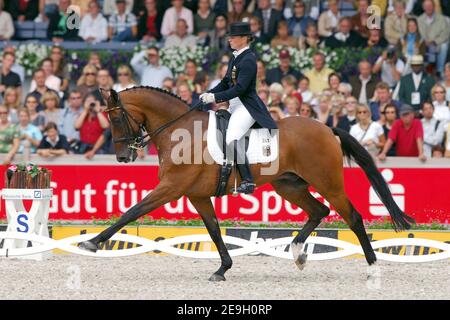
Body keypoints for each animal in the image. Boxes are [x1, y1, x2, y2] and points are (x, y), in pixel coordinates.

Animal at [79, 87, 416, 280]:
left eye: (116, 118)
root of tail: (326, 128)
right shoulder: (196, 195)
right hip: (288, 185)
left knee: (353, 217)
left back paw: (372, 268)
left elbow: (131, 212)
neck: (180, 130)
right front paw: (222, 269)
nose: (123, 156)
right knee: (318, 211)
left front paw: (92, 242)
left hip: (327, 182)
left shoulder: (172, 187)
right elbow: (214, 231)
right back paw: (297, 253)